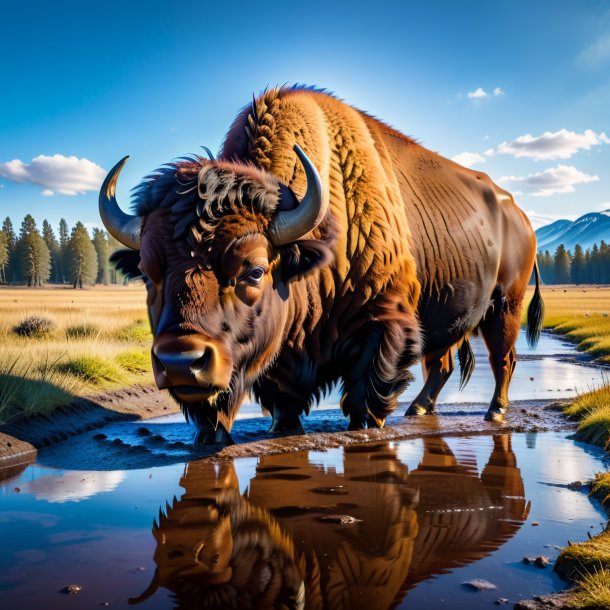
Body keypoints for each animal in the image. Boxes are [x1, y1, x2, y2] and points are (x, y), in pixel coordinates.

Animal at [100, 84, 540, 442]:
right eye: (147, 274)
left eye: (254, 270)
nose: (180, 361)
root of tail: (520, 215)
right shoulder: (283, 356)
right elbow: (281, 399)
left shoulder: (384, 326)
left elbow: (366, 398)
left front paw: (367, 426)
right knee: (442, 363)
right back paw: (418, 410)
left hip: (505, 305)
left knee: (503, 358)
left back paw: (494, 413)